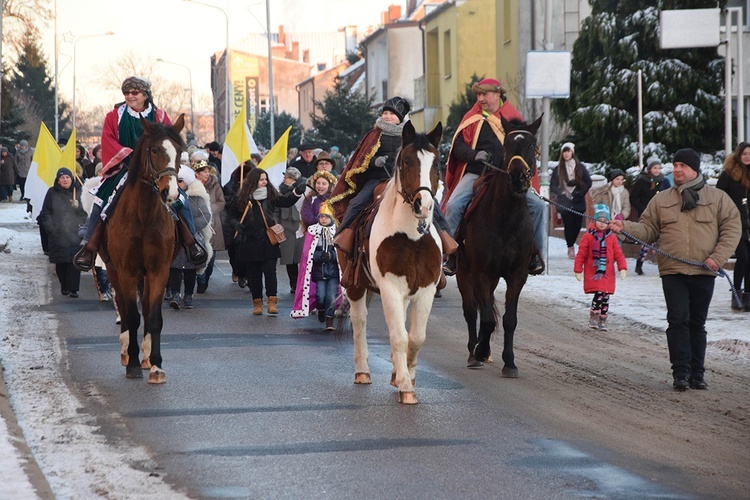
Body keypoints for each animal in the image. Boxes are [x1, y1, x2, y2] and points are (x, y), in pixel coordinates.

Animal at [103, 116, 186, 382]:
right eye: (155, 150)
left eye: (179, 151)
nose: (170, 192)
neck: (144, 217)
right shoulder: (126, 271)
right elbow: (131, 316)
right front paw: (132, 365)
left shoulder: (159, 270)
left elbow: (154, 317)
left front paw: (157, 366)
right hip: (113, 270)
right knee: (123, 307)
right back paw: (126, 352)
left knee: (148, 309)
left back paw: (147, 356)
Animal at [456, 114, 544, 376]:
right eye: (507, 145)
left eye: (531, 145)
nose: (517, 177)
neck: (506, 219)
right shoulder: (480, 273)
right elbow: (485, 319)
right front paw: (481, 351)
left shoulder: (517, 275)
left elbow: (509, 320)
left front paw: (510, 362)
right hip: (464, 274)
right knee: (470, 311)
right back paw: (473, 351)